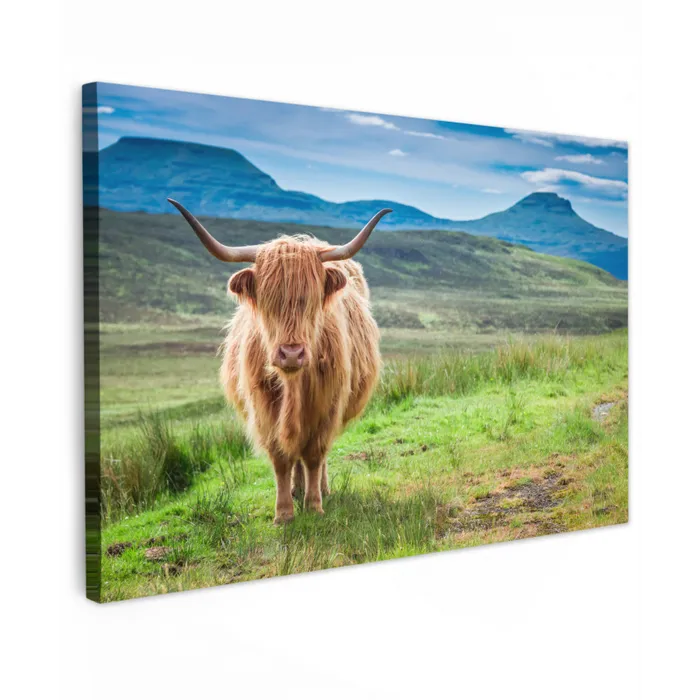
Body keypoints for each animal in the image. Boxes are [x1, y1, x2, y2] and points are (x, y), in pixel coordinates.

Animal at [168, 199, 390, 523]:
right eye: (268, 300)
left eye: (311, 300)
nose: (292, 353)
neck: (293, 385)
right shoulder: (264, 408)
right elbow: (281, 457)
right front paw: (284, 512)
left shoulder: (328, 405)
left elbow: (315, 455)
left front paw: (314, 505)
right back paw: (297, 489)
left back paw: (321, 489)